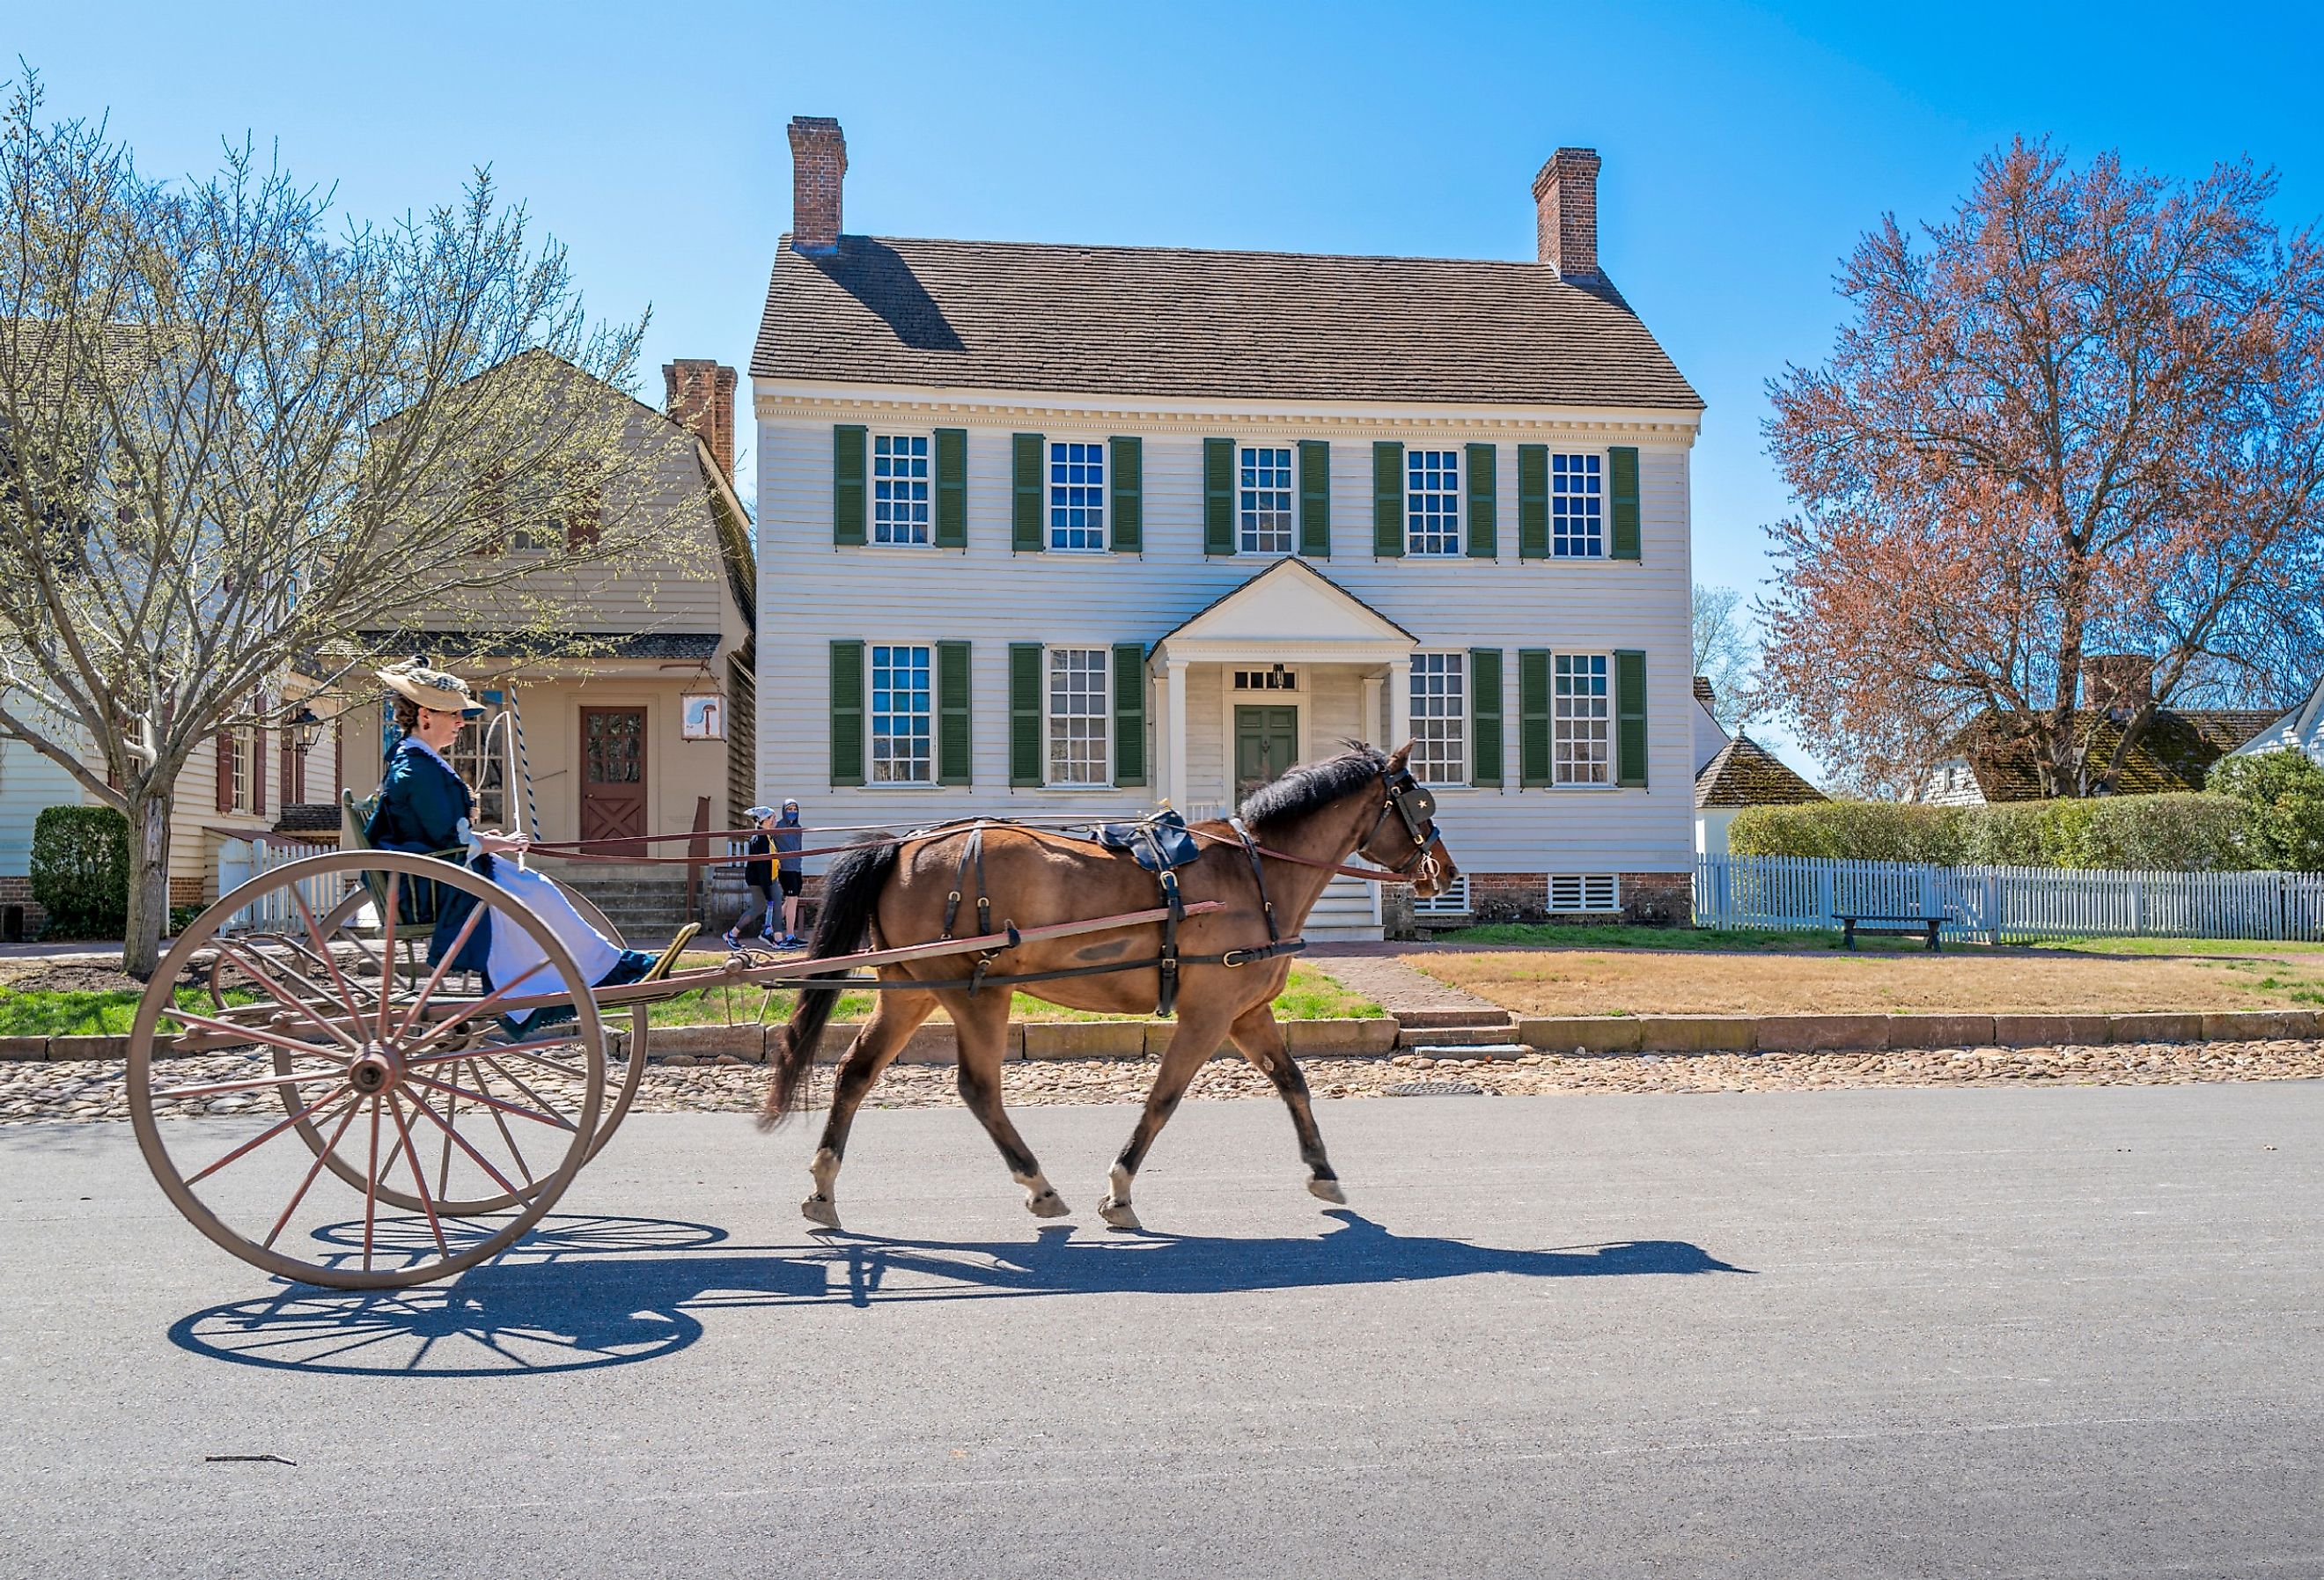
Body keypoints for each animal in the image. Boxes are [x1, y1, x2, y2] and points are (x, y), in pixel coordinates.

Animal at [757, 739, 1450, 1236]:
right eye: (1421, 805)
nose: (1443, 870)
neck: (1256, 872)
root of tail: (903, 844)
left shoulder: (1245, 1011)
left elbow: (1294, 1083)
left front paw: (1323, 1171)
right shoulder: (1209, 1012)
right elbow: (1164, 1099)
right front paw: (1119, 1191)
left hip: (912, 988)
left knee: (855, 1071)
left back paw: (823, 1188)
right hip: (979, 991)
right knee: (979, 1088)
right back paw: (1038, 1184)